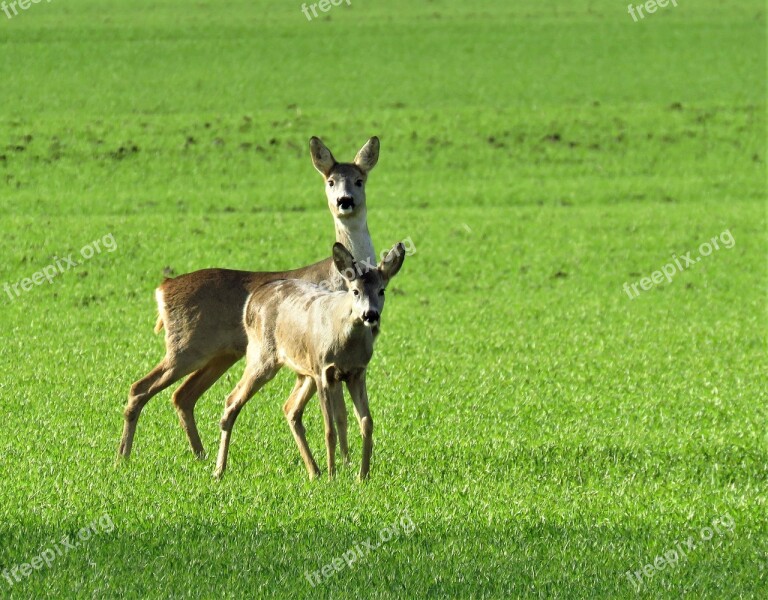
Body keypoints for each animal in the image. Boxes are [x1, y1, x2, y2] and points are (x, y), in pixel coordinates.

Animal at [119, 138, 380, 462]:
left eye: (359, 180)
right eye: (330, 181)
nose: (345, 201)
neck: (341, 277)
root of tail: (163, 288)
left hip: (220, 354)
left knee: (182, 395)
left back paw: (200, 456)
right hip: (185, 347)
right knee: (140, 388)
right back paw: (123, 458)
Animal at [213, 239, 404, 478]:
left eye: (382, 290)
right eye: (355, 291)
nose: (370, 315)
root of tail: (253, 297)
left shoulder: (357, 372)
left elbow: (365, 422)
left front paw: (362, 476)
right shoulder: (323, 370)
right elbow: (329, 428)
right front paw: (333, 476)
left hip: (304, 371)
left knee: (290, 408)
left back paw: (314, 471)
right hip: (263, 355)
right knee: (232, 400)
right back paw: (219, 470)